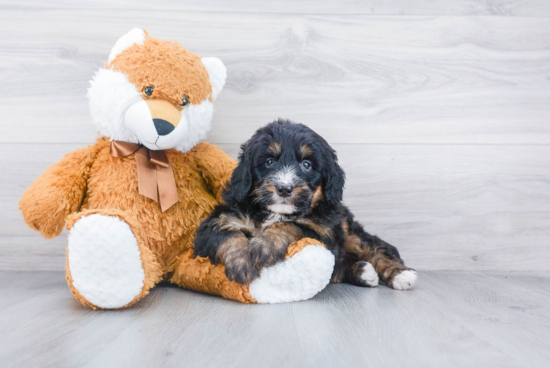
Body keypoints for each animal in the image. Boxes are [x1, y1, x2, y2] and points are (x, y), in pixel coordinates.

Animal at [194, 120, 418, 290]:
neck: (274, 213)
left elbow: (293, 224)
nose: (284, 189)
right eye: (269, 162)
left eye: (306, 165)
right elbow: (228, 235)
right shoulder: (216, 222)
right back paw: (364, 272)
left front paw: (266, 245)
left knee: (375, 248)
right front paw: (241, 262)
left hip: (348, 231)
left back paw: (400, 274)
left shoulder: (324, 233)